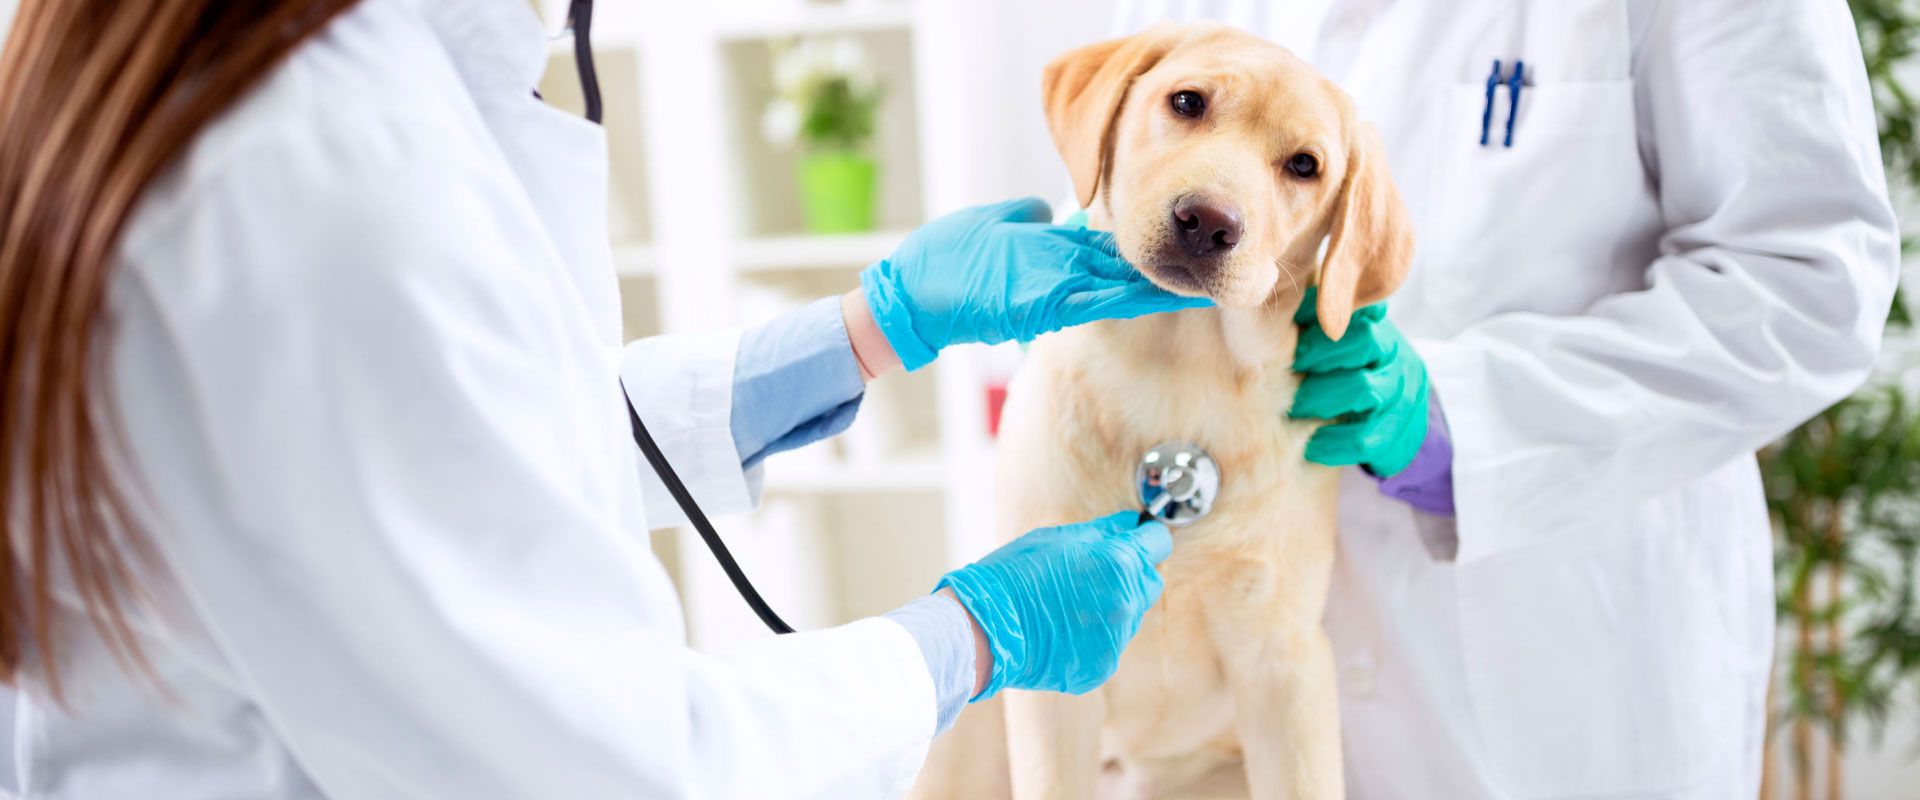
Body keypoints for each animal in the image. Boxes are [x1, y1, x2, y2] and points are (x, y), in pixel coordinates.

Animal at [906, 21, 1420, 794]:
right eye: (1186, 102)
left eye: (1305, 166)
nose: (1207, 221)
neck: (1183, 373)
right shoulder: (1052, 697)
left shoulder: (1286, 667)